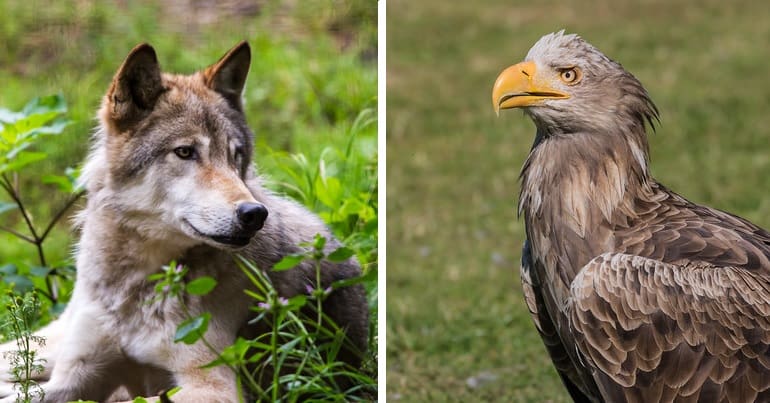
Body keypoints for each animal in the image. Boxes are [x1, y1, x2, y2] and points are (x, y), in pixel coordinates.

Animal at [0, 42, 369, 402]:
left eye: (235, 155)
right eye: (185, 152)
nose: (253, 214)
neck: (133, 290)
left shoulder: (212, 386)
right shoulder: (76, 374)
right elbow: (30, 393)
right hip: (47, 346)